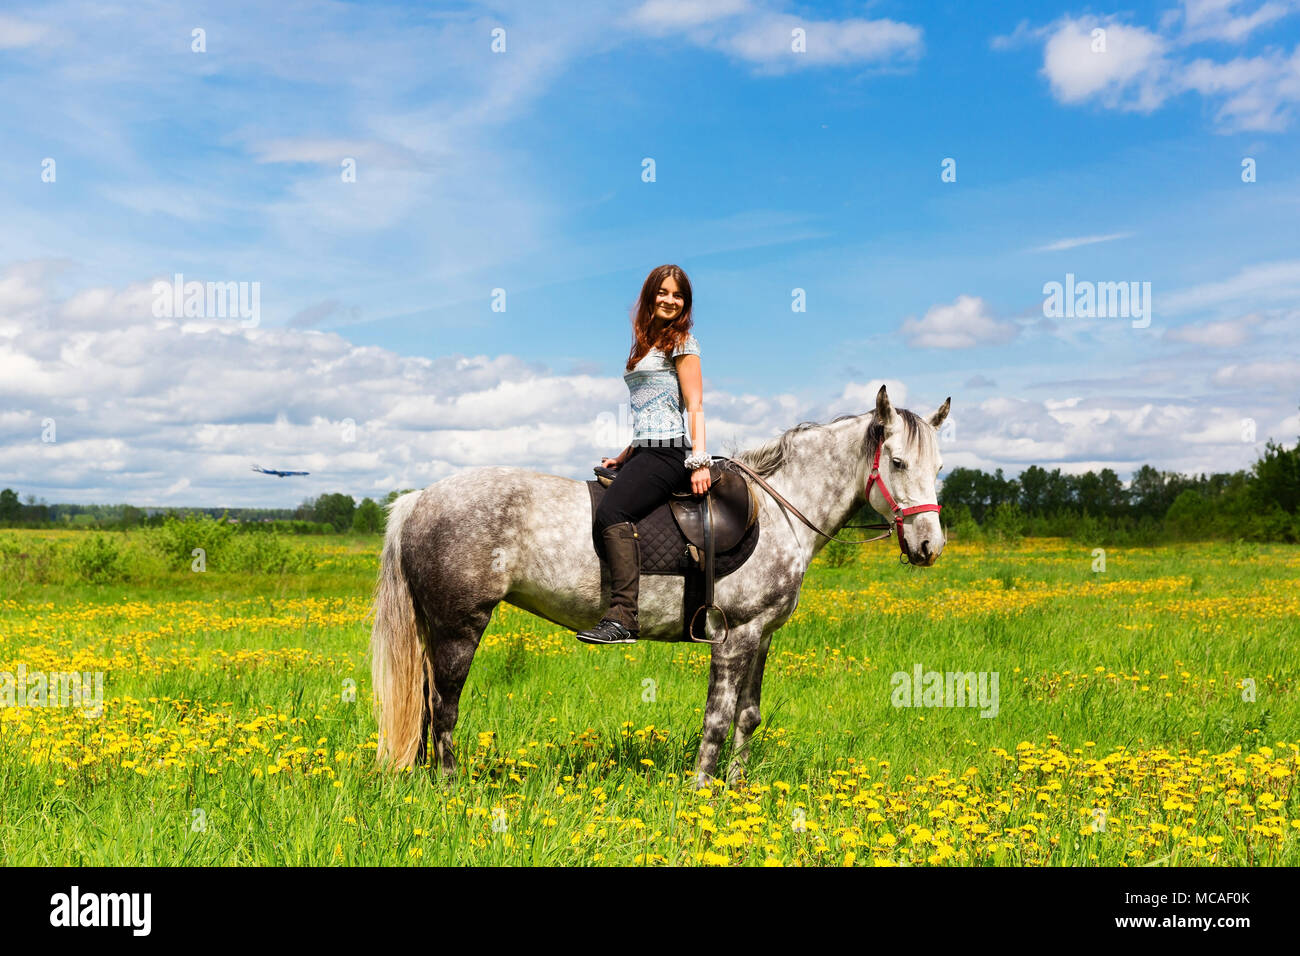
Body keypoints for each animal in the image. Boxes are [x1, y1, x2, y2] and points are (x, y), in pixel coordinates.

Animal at [371, 385, 951, 790]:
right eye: (898, 462)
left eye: (940, 467)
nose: (929, 545)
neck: (779, 509)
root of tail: (418, 499)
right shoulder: (734, 637)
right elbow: (717, 719)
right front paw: (700, 792)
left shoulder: (762, 636)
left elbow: (748, 716)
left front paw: (737, 789)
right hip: (460, 627)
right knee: (442, 707)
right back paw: (450, 789)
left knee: (427, 706)